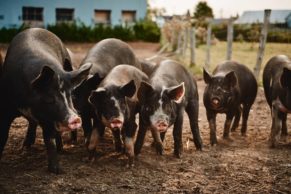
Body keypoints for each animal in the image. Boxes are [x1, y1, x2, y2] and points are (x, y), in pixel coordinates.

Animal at [0, 28, 92, 174]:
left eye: (71, 96)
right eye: (49, 99)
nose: (75, 118)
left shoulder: (48, 118)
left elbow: (49, 139)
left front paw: (56, 170)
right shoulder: (5, 107)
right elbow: (3, 135)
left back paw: (59, 149)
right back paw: (26, 146)